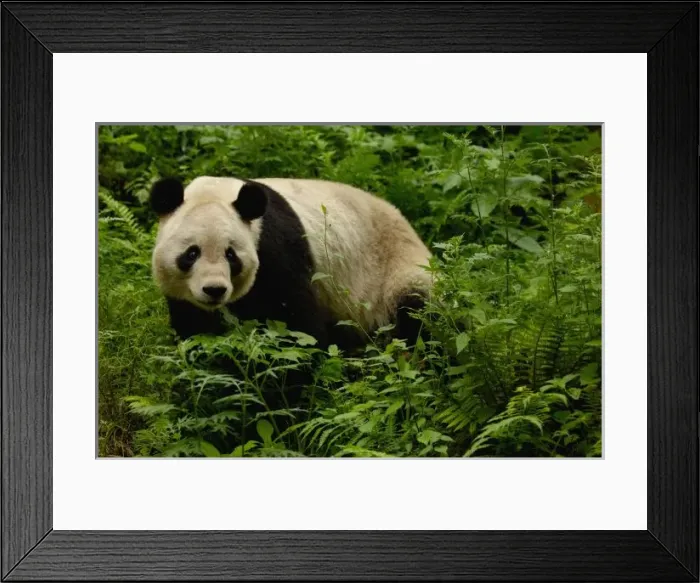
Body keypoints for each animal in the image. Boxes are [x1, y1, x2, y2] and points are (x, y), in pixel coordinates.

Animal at [150, 176, 432, 351]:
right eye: (191, 254)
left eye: (231, 255)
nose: (214, 290)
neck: (216, 191)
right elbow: (195, 331)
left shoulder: (277, 250)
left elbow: (298, 329)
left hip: (396, 269)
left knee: (417, 311)